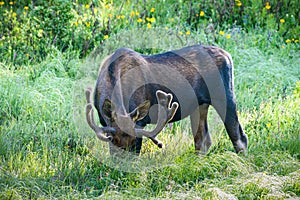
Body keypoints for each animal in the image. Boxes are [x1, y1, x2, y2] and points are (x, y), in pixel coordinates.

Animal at [85, 45, 247, 155]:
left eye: (135, 142)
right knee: (202, 140)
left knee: (240, 138)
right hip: (200, 104)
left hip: (225, 96)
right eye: (113, 140)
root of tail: (227, 55)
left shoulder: (140, 123)